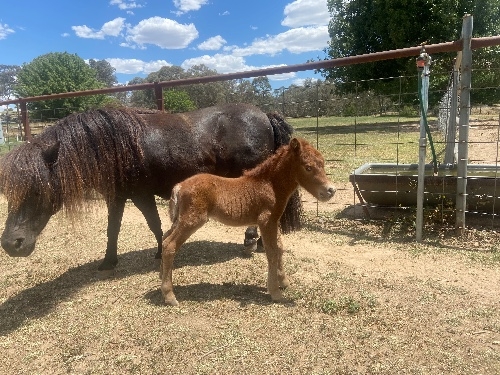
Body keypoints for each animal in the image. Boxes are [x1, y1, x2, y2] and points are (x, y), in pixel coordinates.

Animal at [0, 104, 300, 272]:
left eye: (37, 190)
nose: (11, 244)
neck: (111, 146)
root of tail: (265, 115)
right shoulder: (118, 197)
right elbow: (114, 229)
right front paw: (110, 261)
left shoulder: (140, 195)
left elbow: (154, 225)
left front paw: (158, 253)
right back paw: (258, 242)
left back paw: (252, 241)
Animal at [160, 137, 336, 306]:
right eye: (308, 167)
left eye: (322, 164)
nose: (331, 190)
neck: (270, 185)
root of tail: (179, 186)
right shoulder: (266, 222)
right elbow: (271, 252)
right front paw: (275, 293)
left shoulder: (274, 221)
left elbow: (279, 247)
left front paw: (284, 282)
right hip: (192, 220)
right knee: (170, 245)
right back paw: (169, 296)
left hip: (180, 220)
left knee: (164, 238)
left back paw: (162, 277)